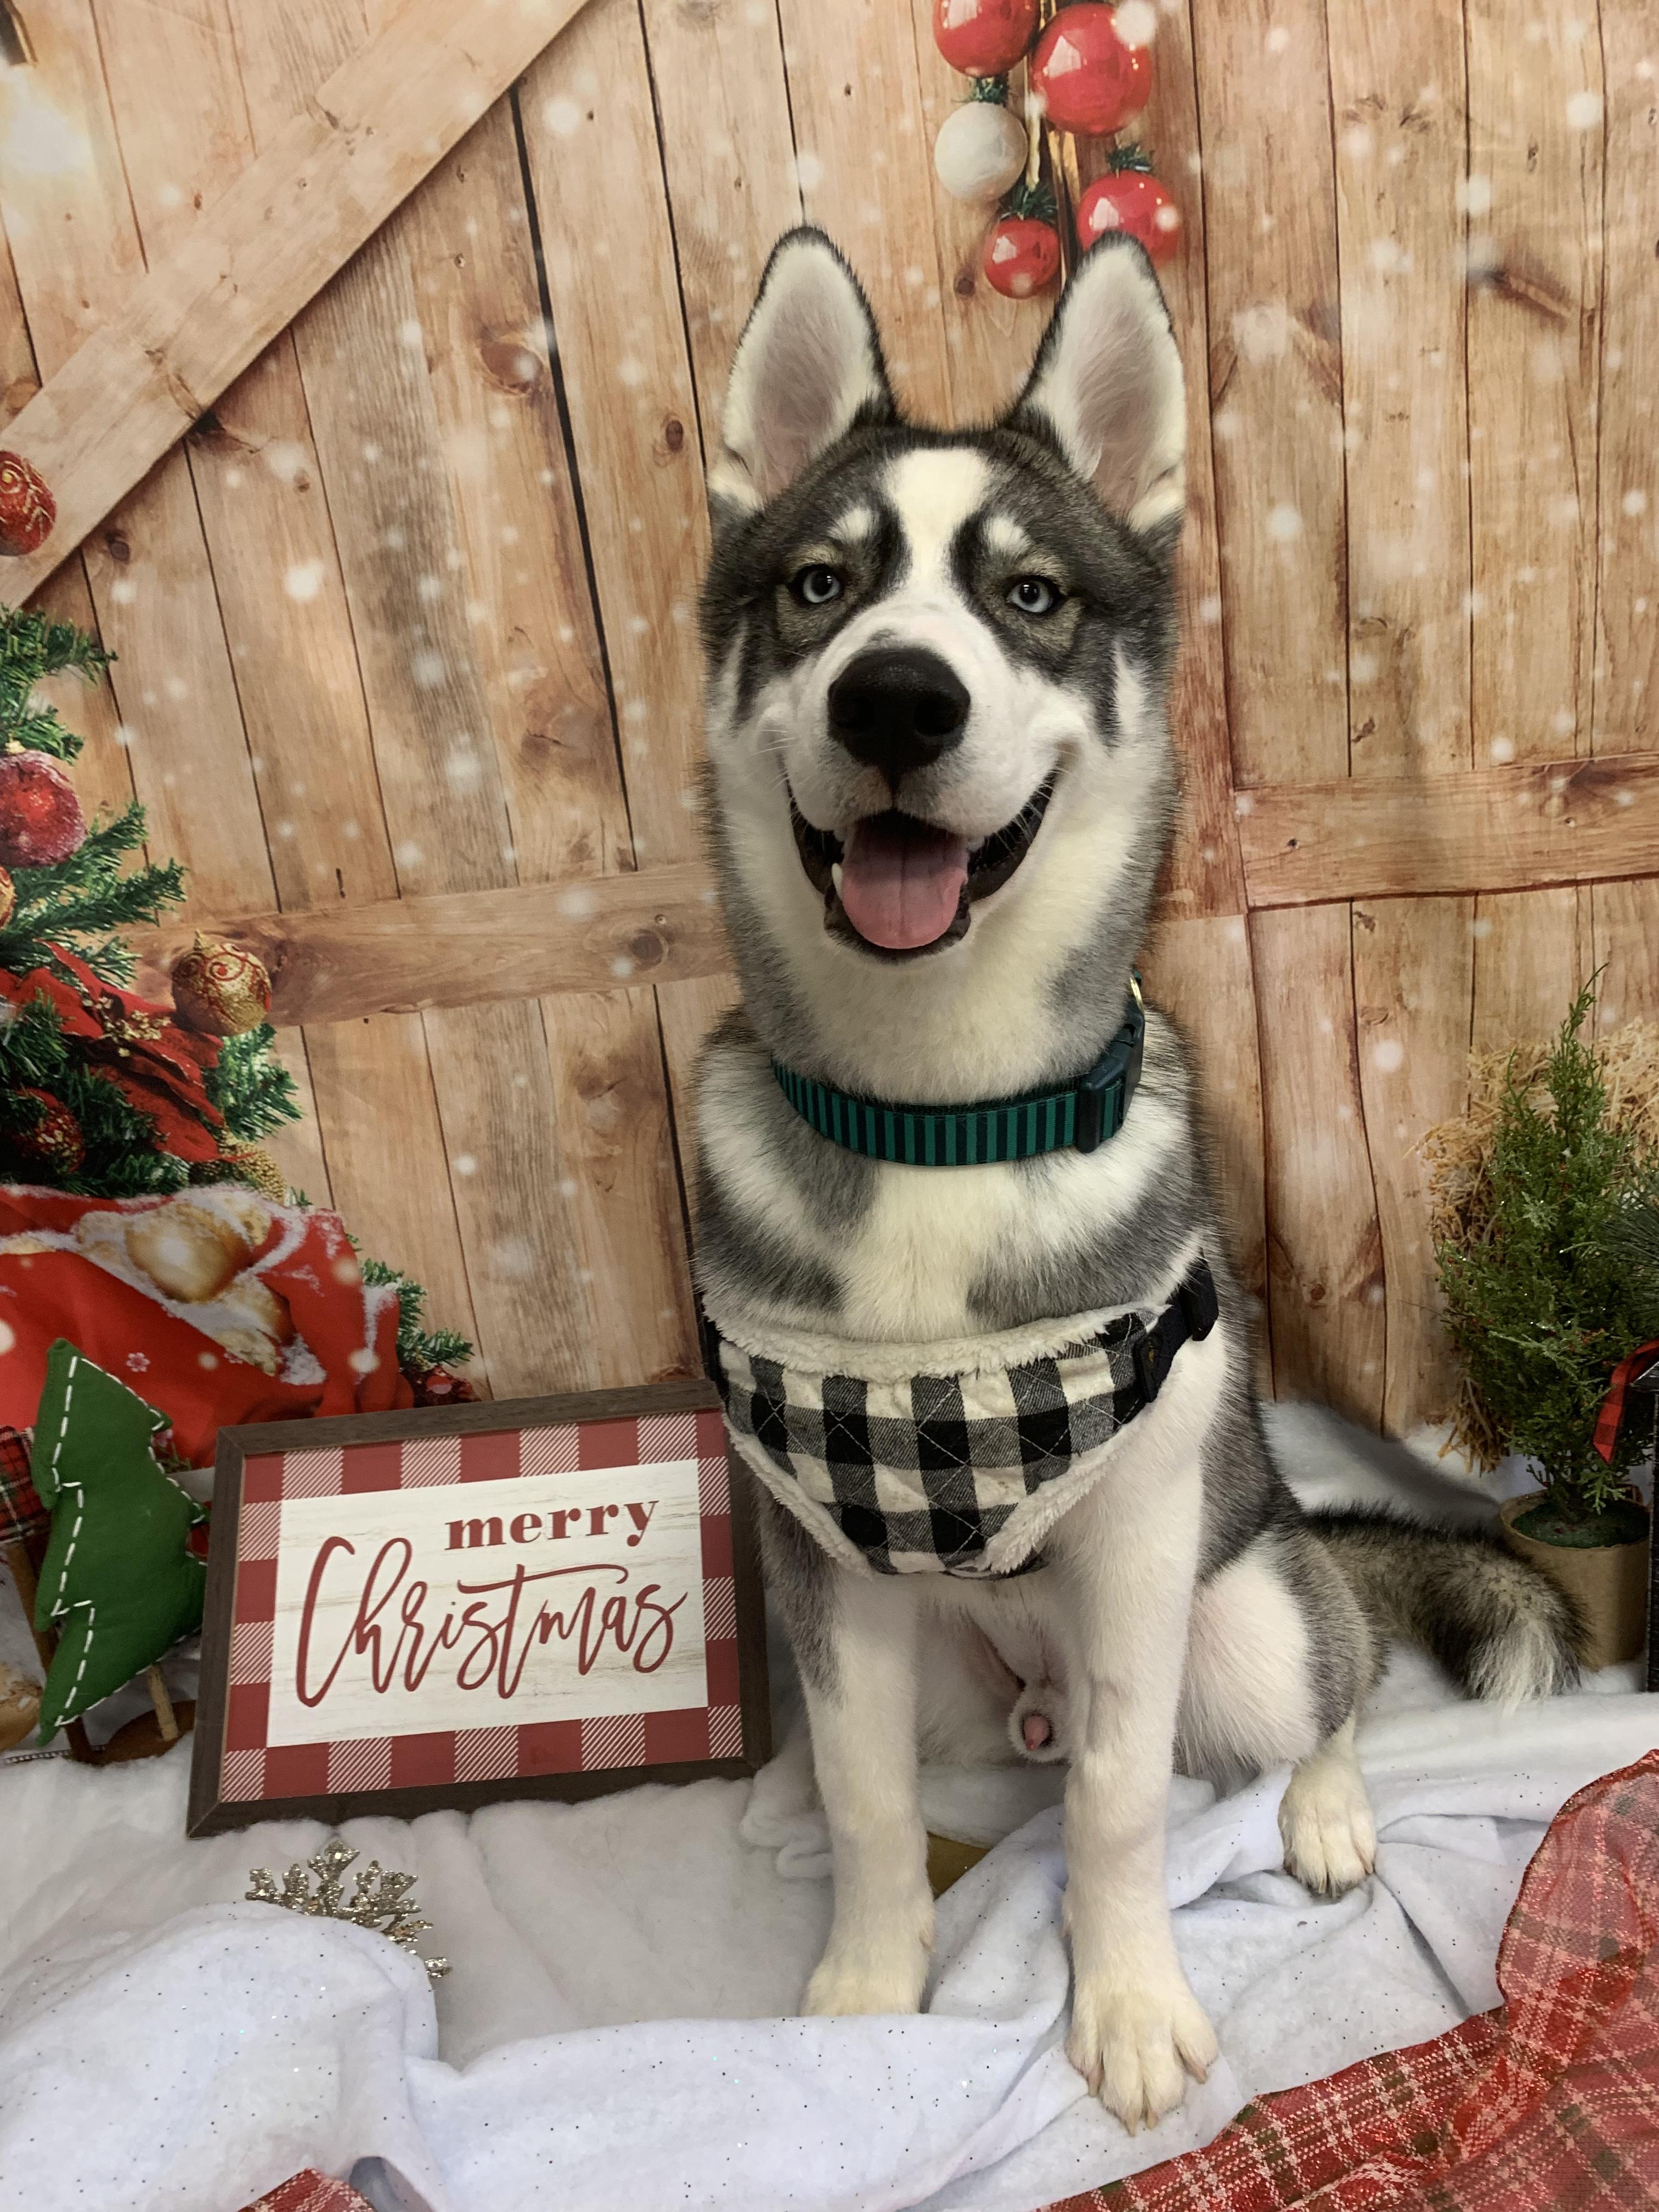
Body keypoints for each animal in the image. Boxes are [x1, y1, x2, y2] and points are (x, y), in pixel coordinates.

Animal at [690, 228, 1580, 2133]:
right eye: (820, 585)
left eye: (1031, 597)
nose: (896, 695)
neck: (939, 1119)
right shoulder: (827, 1559)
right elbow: (871, 1797)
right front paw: (870, 1983)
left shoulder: (1142, 1539)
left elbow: (1115, 1802)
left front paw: (1126, 2002)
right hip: (954, 1668)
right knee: (965, 1772)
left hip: (1245, 1602)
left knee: (1319, 1682)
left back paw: (1322, 1803)